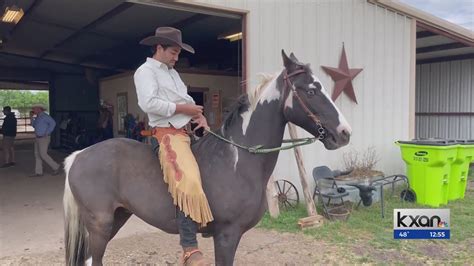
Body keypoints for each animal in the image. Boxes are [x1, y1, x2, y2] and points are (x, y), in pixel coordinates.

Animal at [64, 50, 352, 266]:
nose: (344, 133)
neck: (238, 160)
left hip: (117, 217)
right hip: (100, 224)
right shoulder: (226, 234)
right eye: (311, 91)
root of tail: (78, 156)